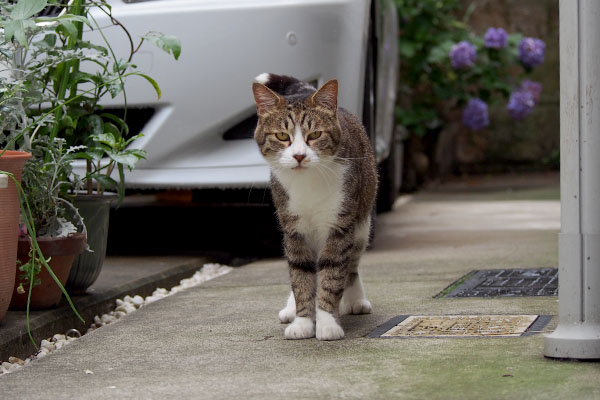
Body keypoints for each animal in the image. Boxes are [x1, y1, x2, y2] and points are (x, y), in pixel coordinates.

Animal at [252, 72, 376, 340]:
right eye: (282, 136)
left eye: (315, 135)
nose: (299, 155)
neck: (307, 183)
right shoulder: (293, 227)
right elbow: (301, 275)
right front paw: (302, 321)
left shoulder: (340, 224)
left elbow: (333, 272)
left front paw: (327, 322)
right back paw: (290, 307)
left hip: (362, 224)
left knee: (352, 263)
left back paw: (356, 299)